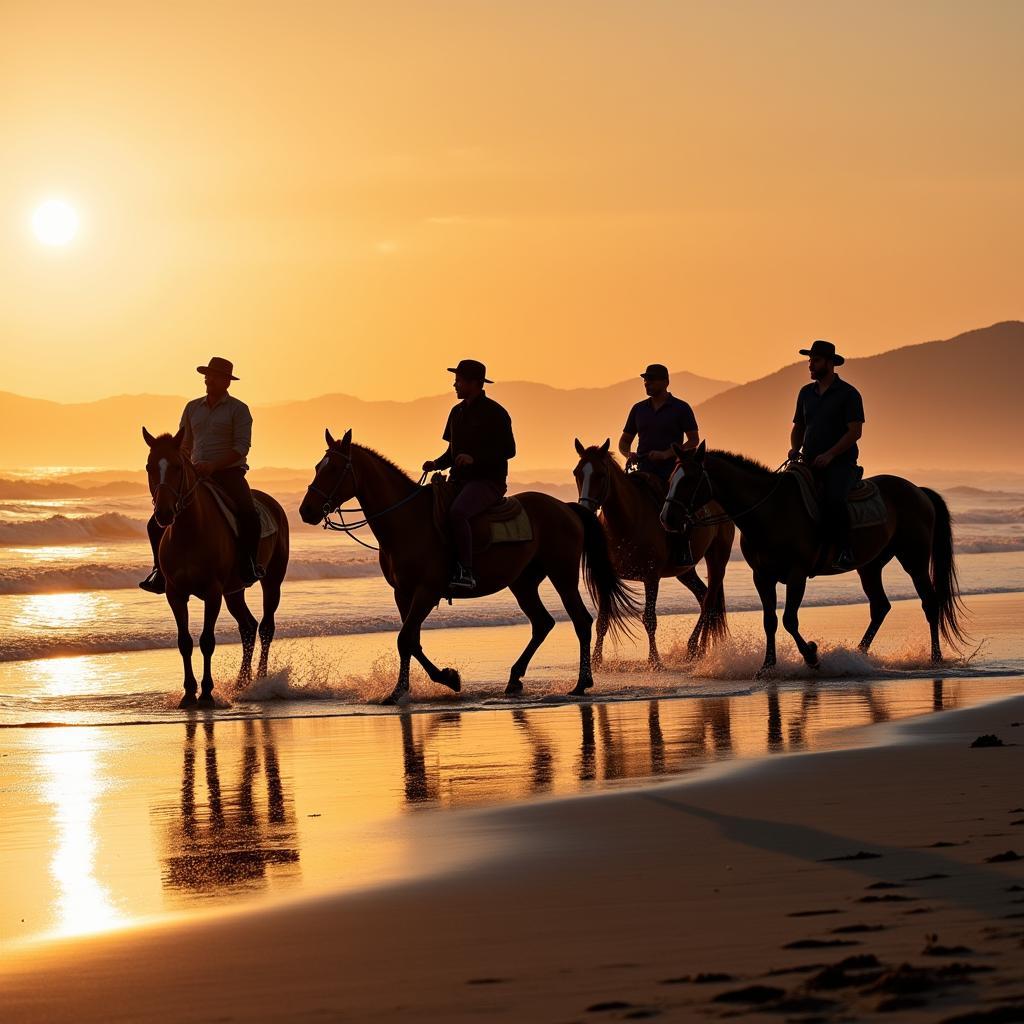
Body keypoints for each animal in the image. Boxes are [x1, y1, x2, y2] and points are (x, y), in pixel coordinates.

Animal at [142, 428, 290, 708]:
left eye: (177, 466)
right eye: (149, 467)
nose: (164, 514)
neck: (189, 533)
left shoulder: (212, 593)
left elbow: (207, 640)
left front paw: (207, 693)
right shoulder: (175, 594)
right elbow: (185, 641)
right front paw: (189, 693)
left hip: (272, 581)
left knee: (266, 627)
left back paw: (261, 682)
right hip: (234, 591)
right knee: (248, 627)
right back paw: (242, 682)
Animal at [292, 425, 638, 704]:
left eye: (334, 468)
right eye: (317, 466)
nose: (306, 510)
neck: (407, 521)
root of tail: (567, 509)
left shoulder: (426, 591)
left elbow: (405, 639)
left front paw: (405, 689)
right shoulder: (403, 593)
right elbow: (411, 640)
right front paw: (442, 679)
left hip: (562, 574)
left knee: (580, 620)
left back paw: (581, 683)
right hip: (523, 582)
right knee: (542, 623)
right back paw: (515, 679)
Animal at [573, 438, 733, 663]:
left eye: (601, 475)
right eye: (577, 472)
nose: (585, 511)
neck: (627, 521)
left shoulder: (651, 577)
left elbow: (649, 619)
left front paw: (655, 661)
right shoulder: (606, 576)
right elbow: (602, 620)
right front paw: (595, 660)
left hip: (717, 558)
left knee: (709, 602)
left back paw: (696, 648)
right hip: (685, 571)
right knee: (703, 597)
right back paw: (695, 649)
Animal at [659, 444, 962, 675]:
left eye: (689, 480)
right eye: (671, 477)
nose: (667, 518)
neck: (769, 512)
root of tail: (918, 491)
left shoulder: (797, 574)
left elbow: (789, 620)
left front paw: (812, 656)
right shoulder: (762, 576)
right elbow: (770, 620)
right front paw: (767, 666)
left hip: (914, 560)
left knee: (929, 602)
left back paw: (935, 658)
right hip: (870, 565)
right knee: (880, 606)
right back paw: (857, 655)